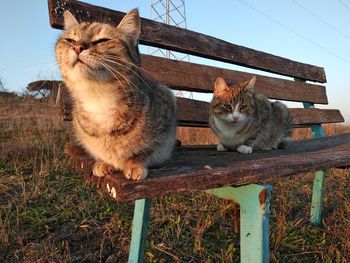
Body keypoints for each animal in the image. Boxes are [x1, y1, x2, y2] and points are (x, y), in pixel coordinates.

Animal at [55, 9, 176, 180]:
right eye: (71, 40)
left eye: (102, 40)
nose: (77, 47)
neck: (98, 98)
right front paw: (104, 163)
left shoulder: (165, 117)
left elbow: (143, 151)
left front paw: (134, 164)